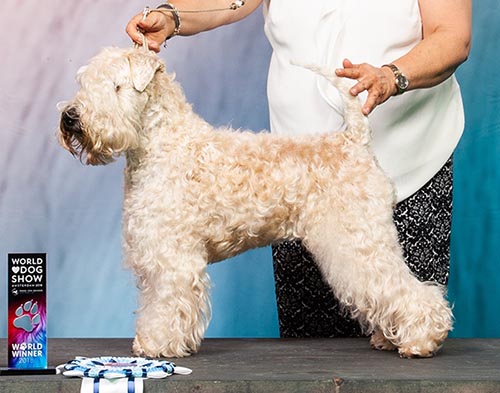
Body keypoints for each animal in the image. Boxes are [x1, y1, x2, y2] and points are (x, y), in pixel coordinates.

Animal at [58, 46, 454, 358]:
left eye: (116, 86)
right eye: (84, 82)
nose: (71, 116)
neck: (163, 145)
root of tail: (354, 140)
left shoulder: (173, 256)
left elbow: (168, 303)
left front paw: (158, 345)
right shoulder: (155, 252)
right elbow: (153, 301)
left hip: (357, 242)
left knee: (404, 288)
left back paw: (420, 340)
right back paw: (392, 338)